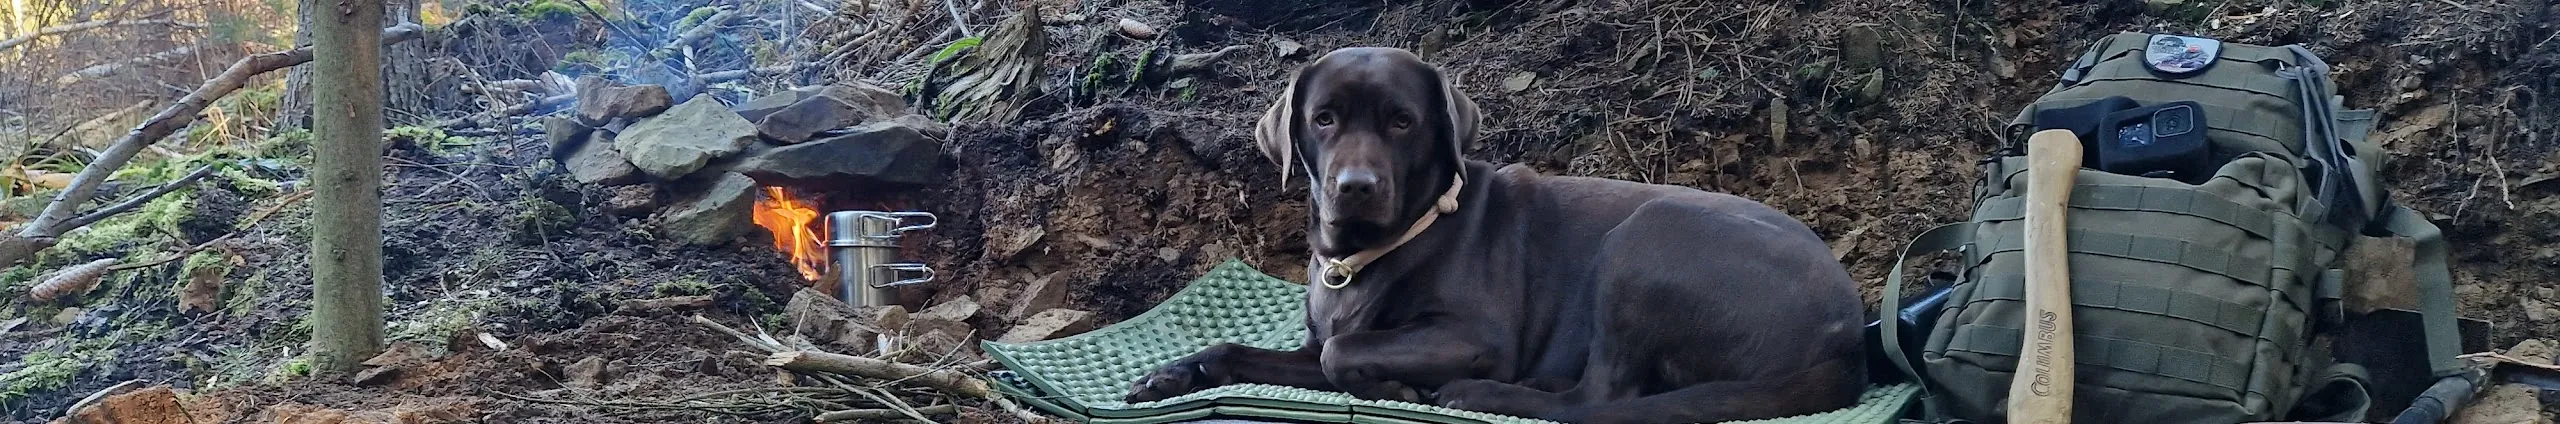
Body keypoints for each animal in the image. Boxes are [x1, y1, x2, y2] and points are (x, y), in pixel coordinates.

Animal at [1122, 47, 1870, 424]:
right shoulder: (1314, 340)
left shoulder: (1473, 335)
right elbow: (1248, 349)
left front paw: (1397, 389)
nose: (1355, 186)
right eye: (1324, 117)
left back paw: (1484, 396)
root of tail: (1843, 333)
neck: (1366, 253)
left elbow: (1343, 354)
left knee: (1602, 399)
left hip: (1646, 237)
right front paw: (1173, 374)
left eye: (1402, 121)